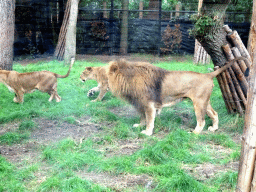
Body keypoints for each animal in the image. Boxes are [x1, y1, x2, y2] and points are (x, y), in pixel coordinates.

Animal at [106, 57, 248, 136]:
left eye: (105, 76)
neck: (129, 78)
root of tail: (207, 75)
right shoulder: (141, 104)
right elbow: (143, 117)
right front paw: (140, 125)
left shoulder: (149, 104)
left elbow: (150, 120)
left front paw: (147, 133)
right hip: (205, 102)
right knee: (214, 113)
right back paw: (214, 128)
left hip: (198, 103)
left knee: (201, 120)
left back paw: (195, 133)